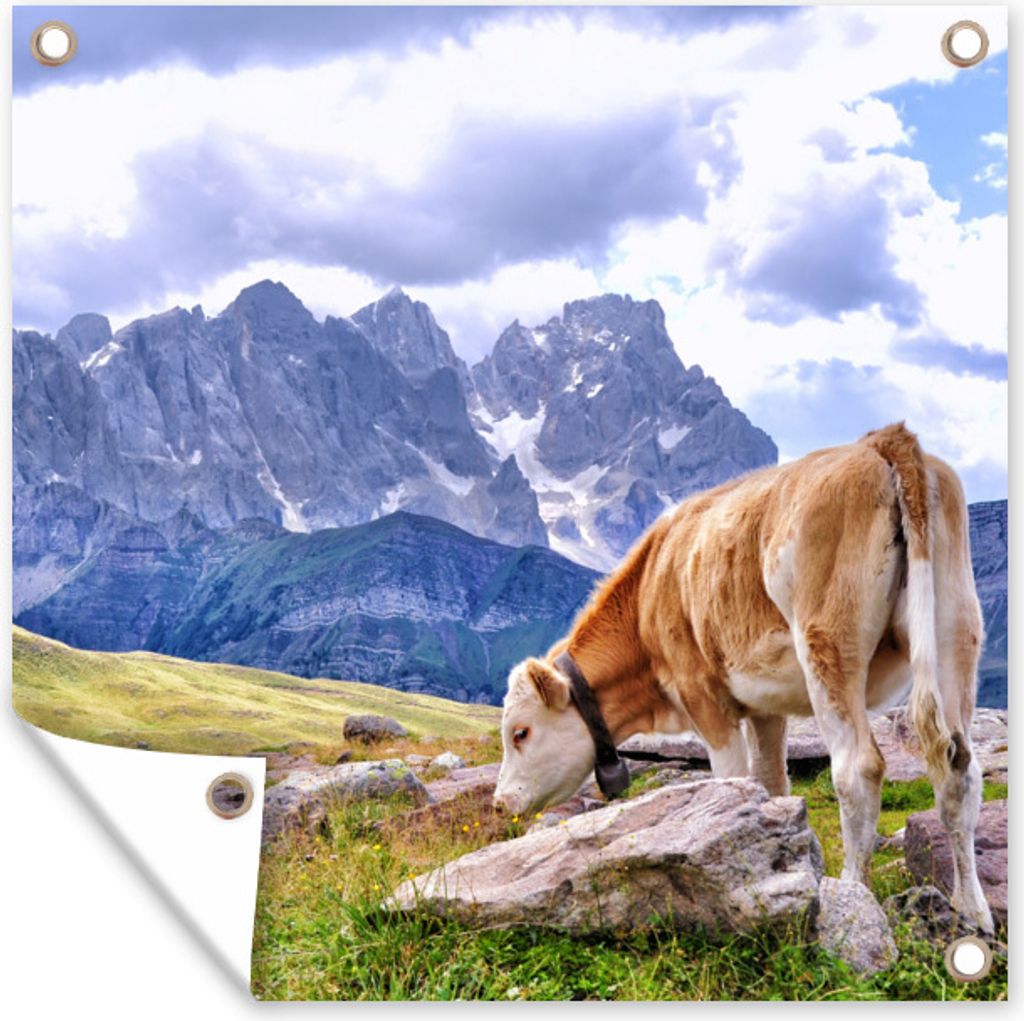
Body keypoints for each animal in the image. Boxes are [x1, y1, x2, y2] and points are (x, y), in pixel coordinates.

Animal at [493, 423, 994, 933]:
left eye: (520, 732)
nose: (499, 803)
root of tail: (881, 441)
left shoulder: (702, 695)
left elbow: (731, 783)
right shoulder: (765, 708)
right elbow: (771, 785)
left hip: (829, 642)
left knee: (858, 768)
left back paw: (855, 896)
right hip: (956, 627)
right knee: (959, 767)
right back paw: (973, 910)